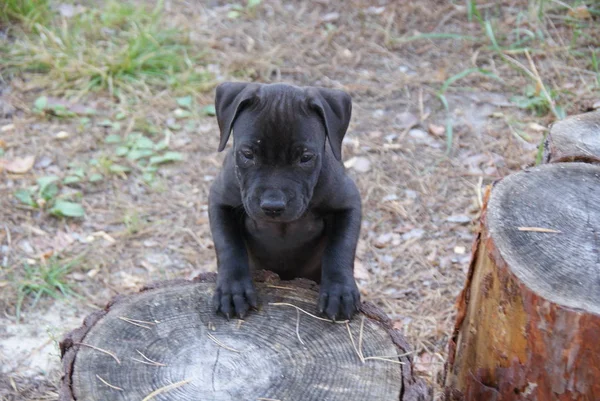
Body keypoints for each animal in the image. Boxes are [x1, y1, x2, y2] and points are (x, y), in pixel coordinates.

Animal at [210, 81, 360, 318]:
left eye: (306, 157)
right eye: (248, 154)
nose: (273, 206)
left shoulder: (349, 203)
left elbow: (341, 248)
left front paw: (339, 290)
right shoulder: (219, 201)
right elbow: (228, 246)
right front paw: (233, 290)